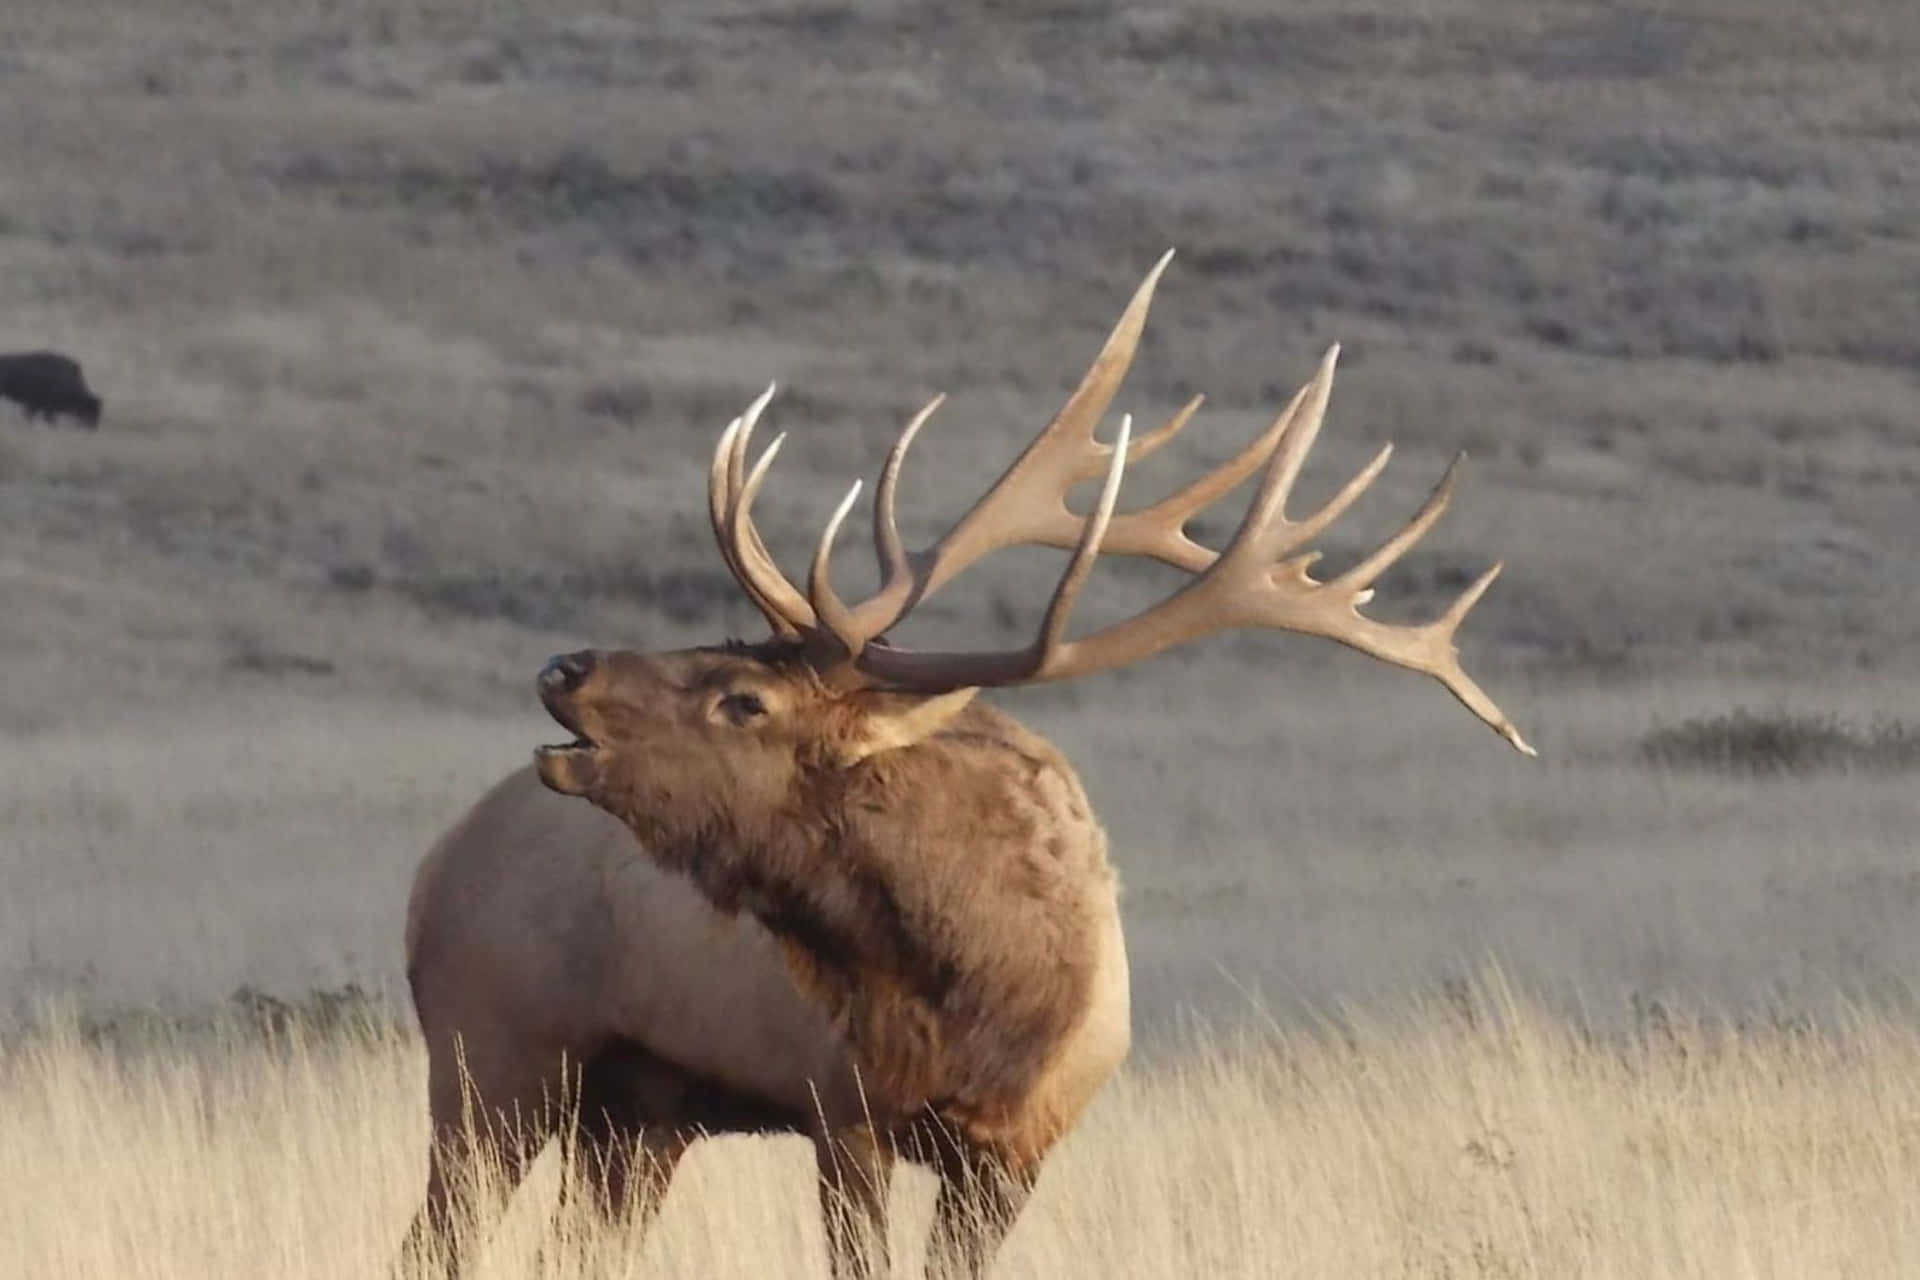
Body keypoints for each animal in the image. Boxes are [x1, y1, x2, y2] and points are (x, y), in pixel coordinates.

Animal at [401, 247, 1528, 1274]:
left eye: (744, 697)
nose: (565, 667)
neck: (983, 996)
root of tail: (434, 864)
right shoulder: (842, 1107)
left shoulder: (1018, 1147)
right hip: (489, 1045)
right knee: (436, 1238)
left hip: (634, 1106)